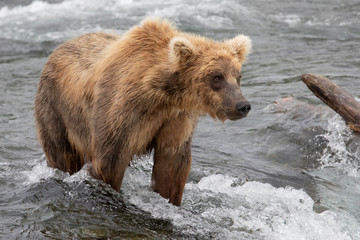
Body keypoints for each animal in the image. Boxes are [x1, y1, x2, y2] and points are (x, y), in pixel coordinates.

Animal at [35, 18, 252, 206]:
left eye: (237, 76)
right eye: (217, 77)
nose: (243, 105)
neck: (160, 94)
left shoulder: (175, 118)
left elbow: (172, 165)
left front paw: (170, 198)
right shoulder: (121, 112)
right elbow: (109, 162)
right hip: (56, 109)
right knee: (62, 153)